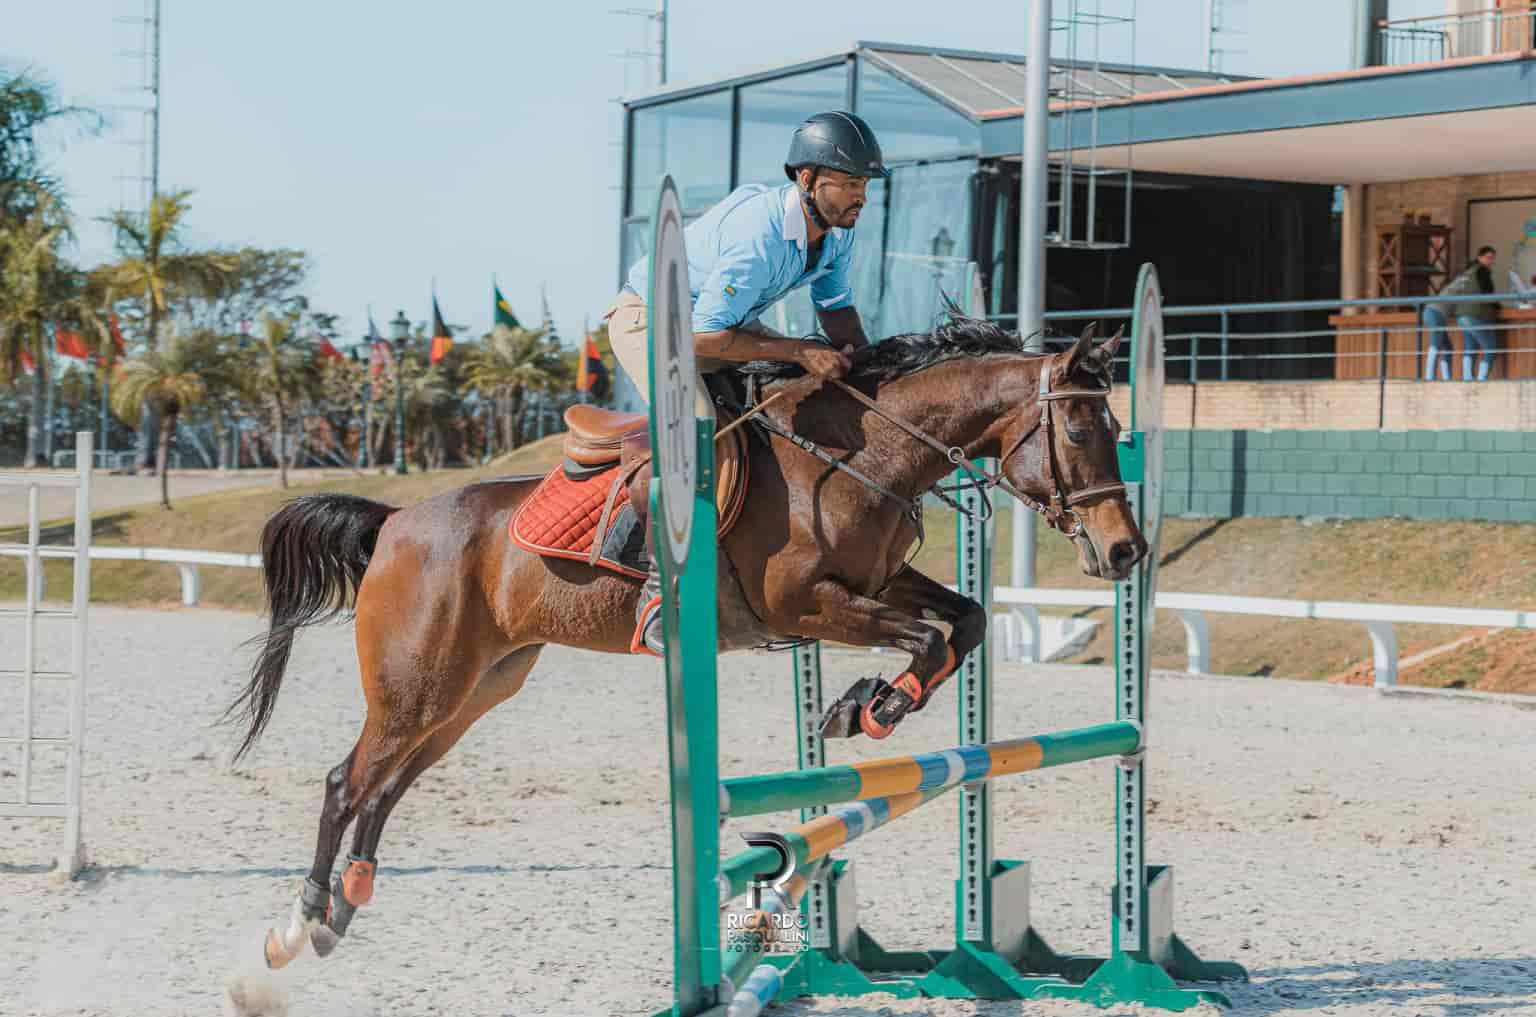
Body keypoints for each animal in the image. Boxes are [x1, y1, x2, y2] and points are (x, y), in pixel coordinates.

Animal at [227, 316, 1144, 970]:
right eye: (1082, 431)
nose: (1126, 551)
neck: (864, 455)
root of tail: (394, 523)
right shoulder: (807, 605)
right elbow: (925, 634)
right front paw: (865, 708)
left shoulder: (877, 585)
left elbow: (966, 621)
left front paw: (864, 706)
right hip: (418, 683)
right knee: (347, 781)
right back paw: (300, 921)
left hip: (477, 688)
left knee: (387, 787)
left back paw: (346, 906)